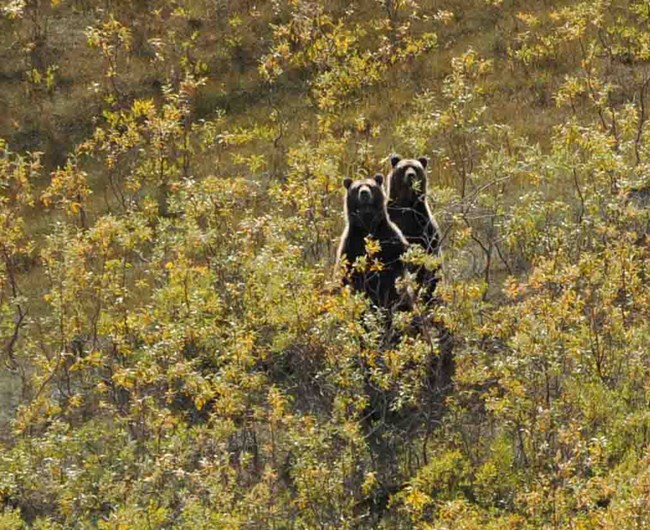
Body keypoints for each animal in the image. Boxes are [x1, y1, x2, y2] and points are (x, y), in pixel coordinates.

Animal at [336, 173, 410, 311]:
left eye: (370, 186)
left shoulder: (389, 238)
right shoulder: (351, 244)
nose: (364, 193)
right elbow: (346, 271)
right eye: (357, 188)